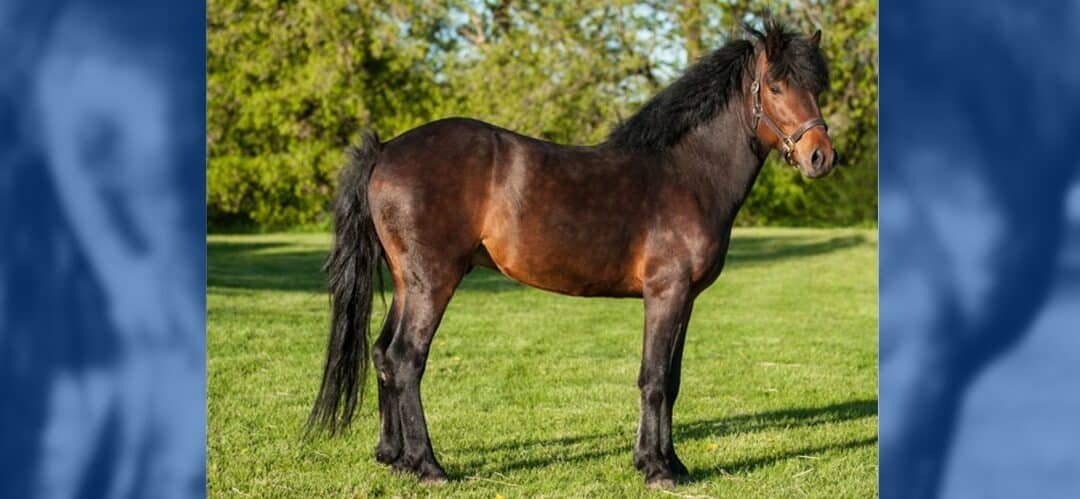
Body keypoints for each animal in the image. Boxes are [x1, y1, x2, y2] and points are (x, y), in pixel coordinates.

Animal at [309, 21, 837, 489]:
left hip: (407, 283)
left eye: (817, 86)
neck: (687, 173)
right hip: (432, 282)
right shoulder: (665, 293)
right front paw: (656, 469)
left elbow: (672, 379)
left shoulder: (685, 299)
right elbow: (653, 378)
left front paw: (672, 462)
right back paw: (427, 465)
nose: (821, 157)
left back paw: (393, 458)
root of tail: (385, 150)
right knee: (405, 358)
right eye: (775, 85)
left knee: (382, 353)